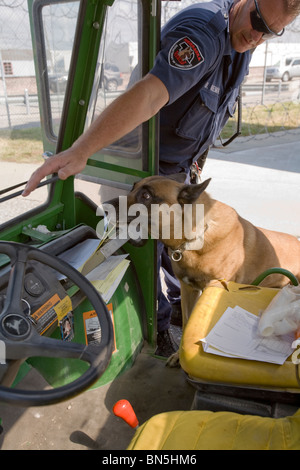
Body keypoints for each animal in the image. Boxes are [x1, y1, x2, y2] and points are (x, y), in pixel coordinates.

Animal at [125, 176, 300, 364]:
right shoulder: (188, 290)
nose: (110, 205)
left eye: (146, 195)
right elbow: (187, 323)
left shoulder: (216, 289)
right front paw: (179, 356)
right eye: (132, 187)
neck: (196, 236)